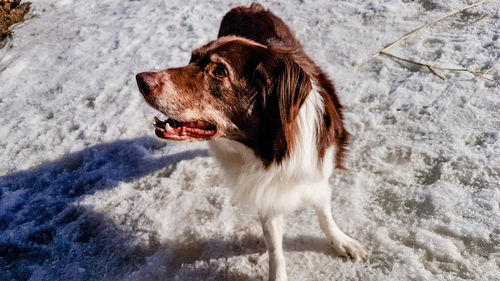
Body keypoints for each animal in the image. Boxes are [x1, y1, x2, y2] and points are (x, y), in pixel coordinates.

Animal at [137, 2, 368, 280]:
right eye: (191, 59)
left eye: (219, 71)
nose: (140, 80)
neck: (269, 150)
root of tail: (247, 6)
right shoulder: (266, 191)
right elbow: (275, 247)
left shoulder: (317, 170)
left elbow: (325, 214)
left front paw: (342, 242)